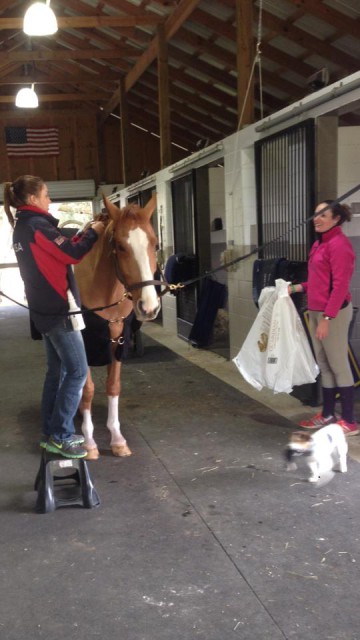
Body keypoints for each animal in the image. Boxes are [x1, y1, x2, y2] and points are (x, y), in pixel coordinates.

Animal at [75, 195, 160, 460]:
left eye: (154, 244)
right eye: (121, 246)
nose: (149, 306)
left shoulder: (118, 341)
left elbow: (113, 387)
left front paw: (117, 439)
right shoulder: (84, 343)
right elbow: (88, 389)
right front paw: (89, 443)